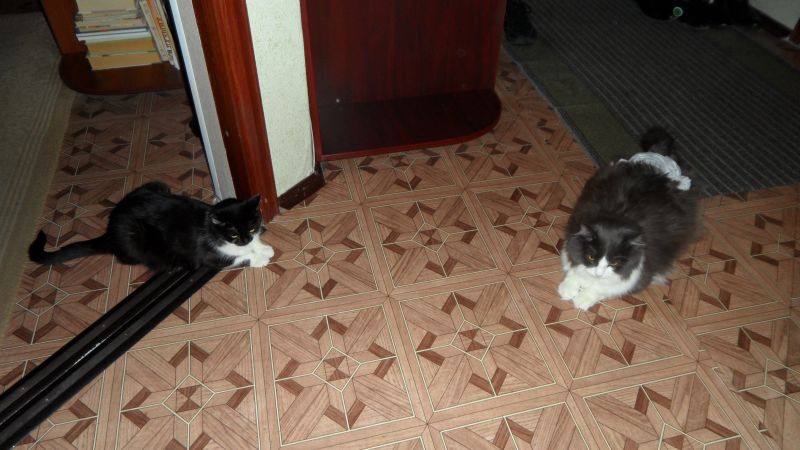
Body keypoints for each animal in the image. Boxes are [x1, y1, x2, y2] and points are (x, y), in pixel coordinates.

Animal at [28, 181, 274, 272]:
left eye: (251, 228)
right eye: (233, 234)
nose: (245, 239)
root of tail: (109, 231)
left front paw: (264, 248)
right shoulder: (209, 255)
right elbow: (236, 258)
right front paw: (259, 258)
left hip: (157, 185)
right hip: (134, 238)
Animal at [557, 127, 700, 310]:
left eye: (615, 263)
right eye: (591, 257)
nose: (599, 273)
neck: (619, 216)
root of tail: (656, 161)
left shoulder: (636, 276)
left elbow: (602, 288)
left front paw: (583, 299)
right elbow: (574, 269)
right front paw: (567, 289)